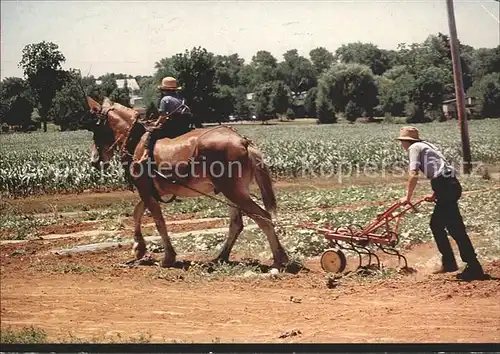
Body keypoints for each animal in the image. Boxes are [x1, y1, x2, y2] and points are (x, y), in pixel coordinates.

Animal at [84, 96, 292, 268]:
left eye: (96, 126)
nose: (94, 161)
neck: (137, 142)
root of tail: (244, 142)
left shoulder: (144, 188)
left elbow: (158, 221)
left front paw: (168, 257)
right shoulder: (151, 190)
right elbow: (137, 212)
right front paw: (139, 248)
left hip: (233, 191)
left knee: (263, 217)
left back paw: (280, 258)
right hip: (233, 192)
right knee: (237, 223)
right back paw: (221, 257)